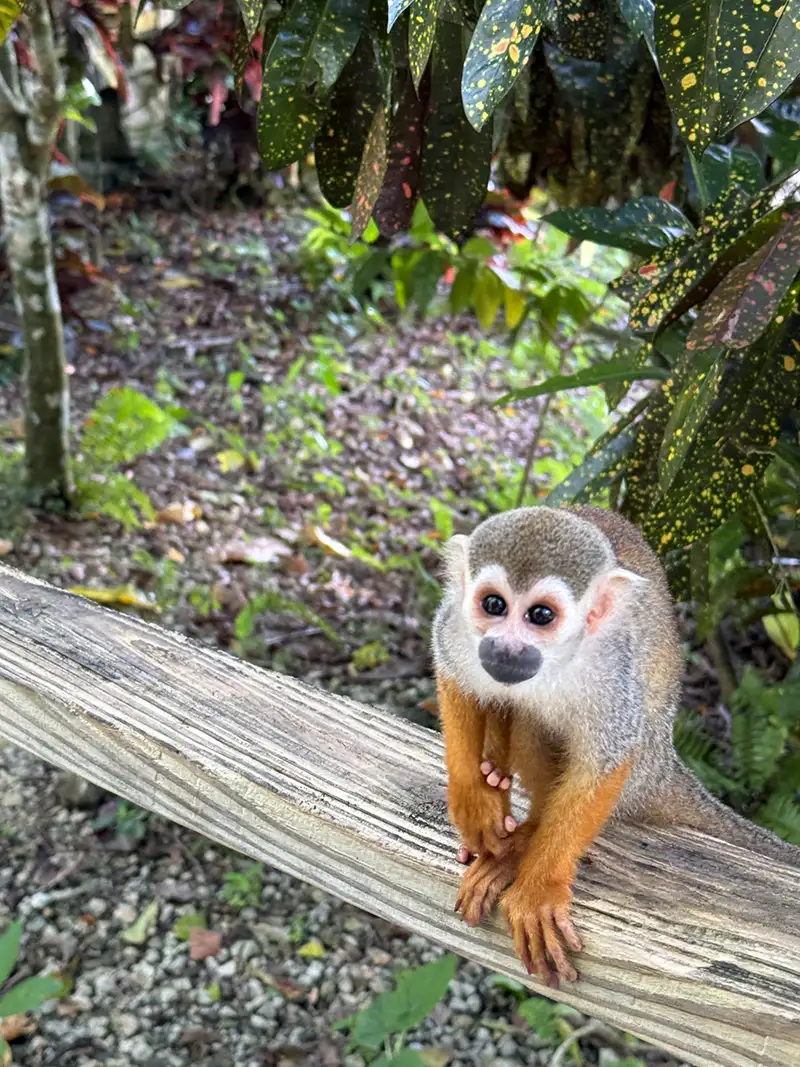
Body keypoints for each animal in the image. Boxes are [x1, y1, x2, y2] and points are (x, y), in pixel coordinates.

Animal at [432, 505, 800, 987]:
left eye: (541, 615)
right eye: (494, 605)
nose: (507, 650)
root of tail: (665, 764)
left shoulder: (610, 668)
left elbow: (604, 761)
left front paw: (538, 889)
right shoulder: (456, 627)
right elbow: (455, 678)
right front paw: (473, 799)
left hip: (643, 768)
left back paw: (524, 840)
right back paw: (495, 778)